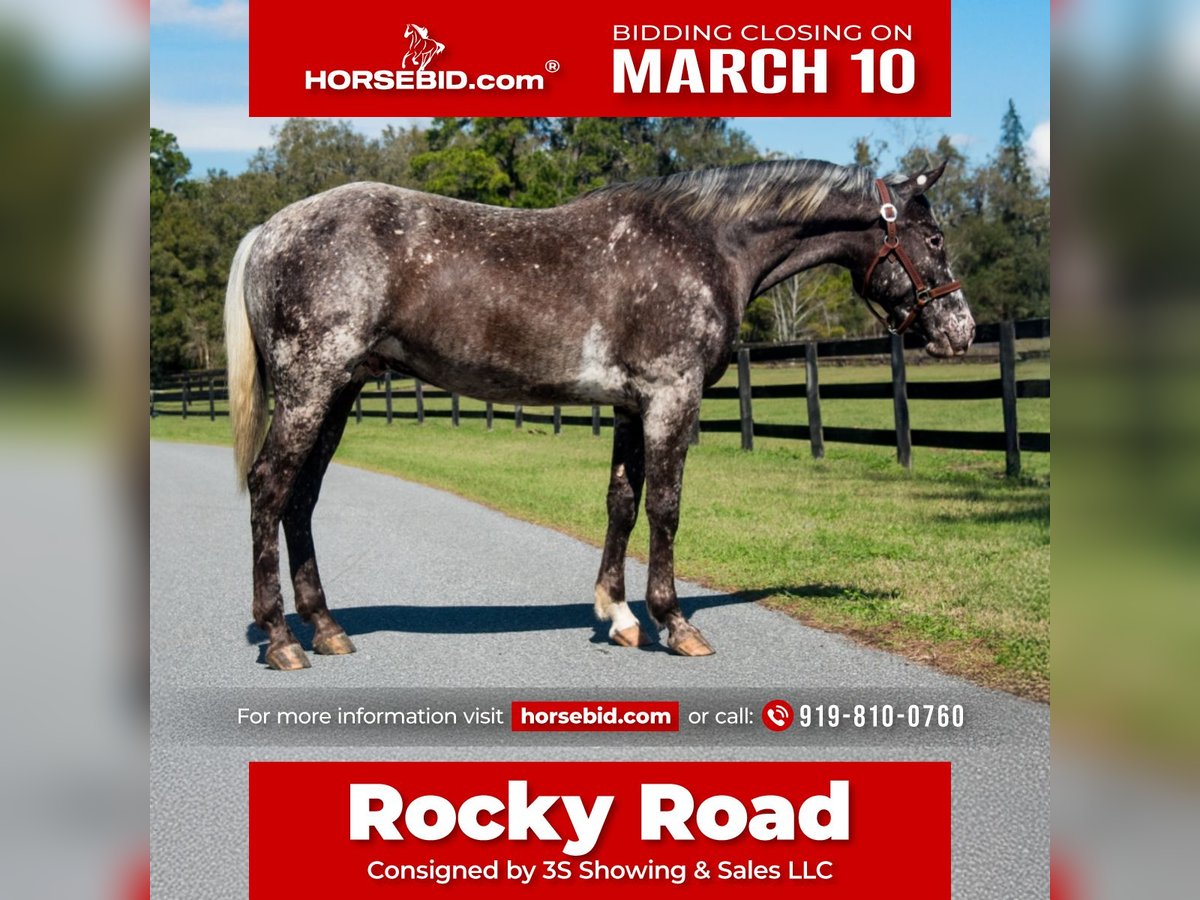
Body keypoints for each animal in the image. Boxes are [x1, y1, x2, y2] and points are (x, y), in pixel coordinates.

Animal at [225, 160, 974, 672]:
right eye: (934, 237)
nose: (960, 331)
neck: (706, 242)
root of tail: (269, 230)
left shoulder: (630, 407)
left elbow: (622, 502)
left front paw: (618, 614)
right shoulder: (672, 398)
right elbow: (666, 507)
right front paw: (676, 624)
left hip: (339, 394)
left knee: (301, 499)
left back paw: (326, 628)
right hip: (311, 389)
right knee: (269, 489)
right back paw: (282, 639)